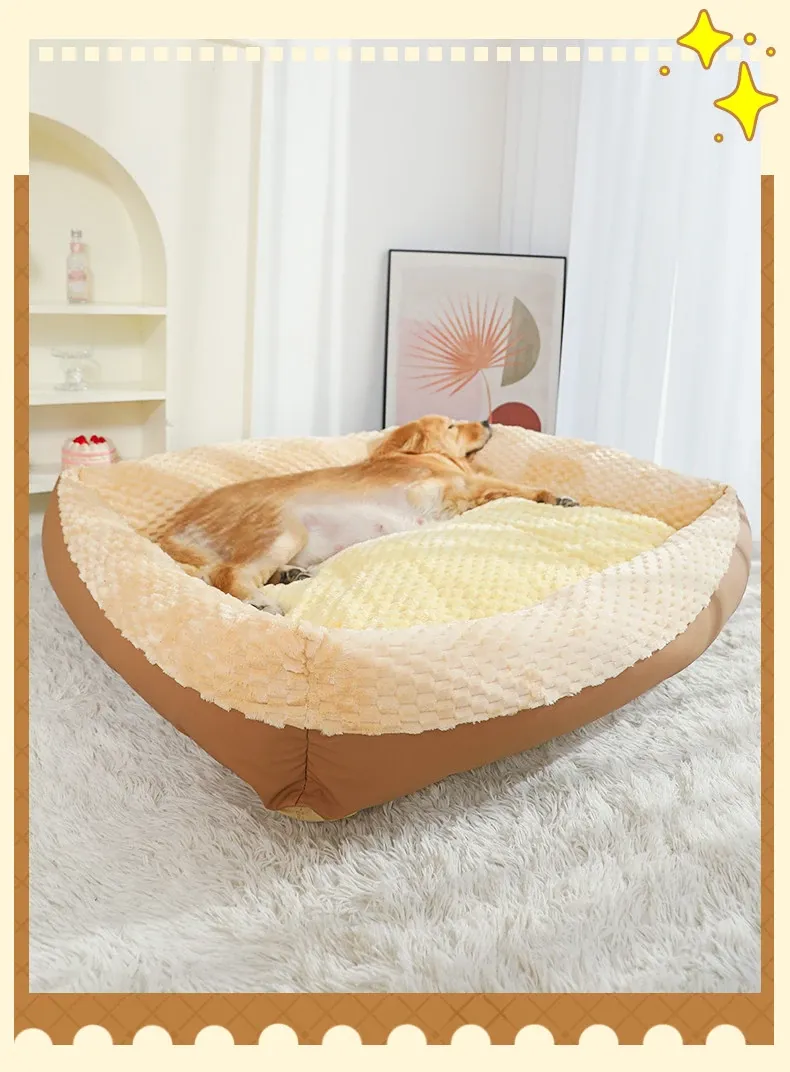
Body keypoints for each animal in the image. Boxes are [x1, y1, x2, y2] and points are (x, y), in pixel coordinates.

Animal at [155, 415, 578, 610]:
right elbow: (517, 488)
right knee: (227, 574)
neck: (422, 457)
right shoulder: (462, 486)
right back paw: (260, 600)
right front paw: (556, 497)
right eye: (453, 425)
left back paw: (290, 575)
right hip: (281, 528)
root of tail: (170, 528)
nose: (488, 420)